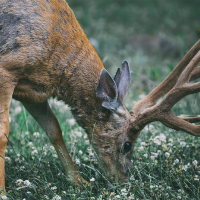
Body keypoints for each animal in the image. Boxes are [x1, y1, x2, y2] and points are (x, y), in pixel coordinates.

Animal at [1, 0, 200, 194]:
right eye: (127, 144)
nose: (122, 182)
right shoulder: (8, 68)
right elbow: (4, 134)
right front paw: (3, 192)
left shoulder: (34, 92)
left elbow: (54, 129)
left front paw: (79, 182)